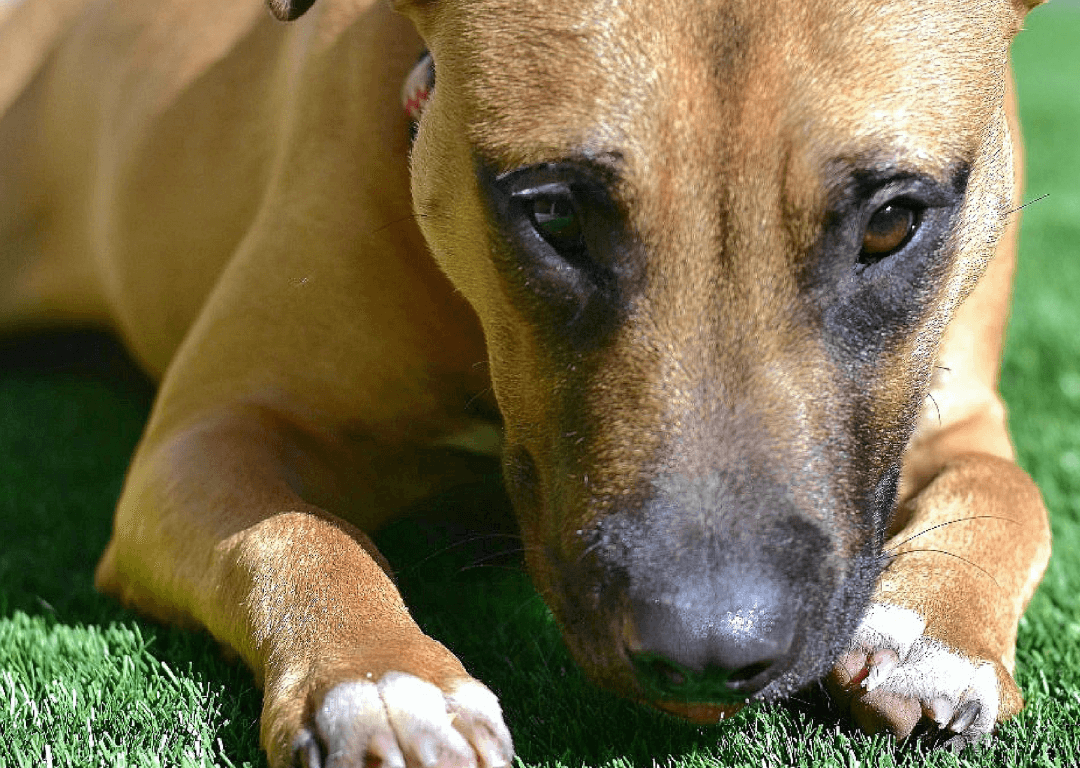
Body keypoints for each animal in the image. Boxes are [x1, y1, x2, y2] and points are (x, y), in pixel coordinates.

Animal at [0, 0, 1049, 764]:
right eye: (552, 214)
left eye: (892, 221)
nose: (709, 651)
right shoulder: (206, 439)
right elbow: (298, 531)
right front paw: (382, 679)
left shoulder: (962, 412)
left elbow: (1009, 487)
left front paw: (935, 636)